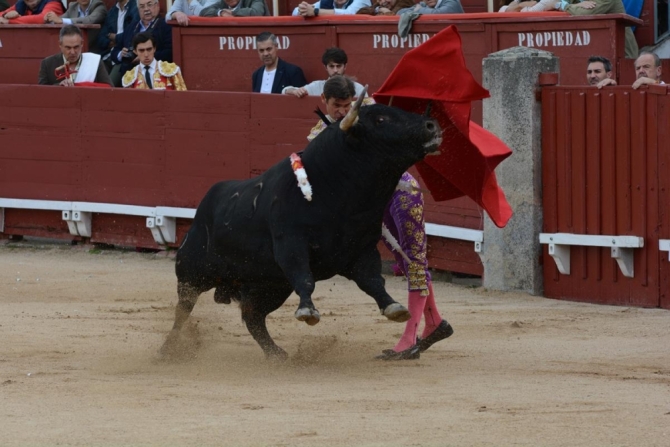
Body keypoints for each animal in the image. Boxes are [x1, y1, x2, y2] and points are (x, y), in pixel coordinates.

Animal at [162, 102, 444, 360]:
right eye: (381, 119)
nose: (431, 125)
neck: (339, 193)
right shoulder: (291, 244)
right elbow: (305, 278)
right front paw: (307, 311)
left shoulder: (362, 251)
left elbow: (373, 281)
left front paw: (393, 307)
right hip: (192, 272)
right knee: (183, 309)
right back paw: (167, 350)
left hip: (269, 285)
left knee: (253, 317)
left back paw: (276, 354)